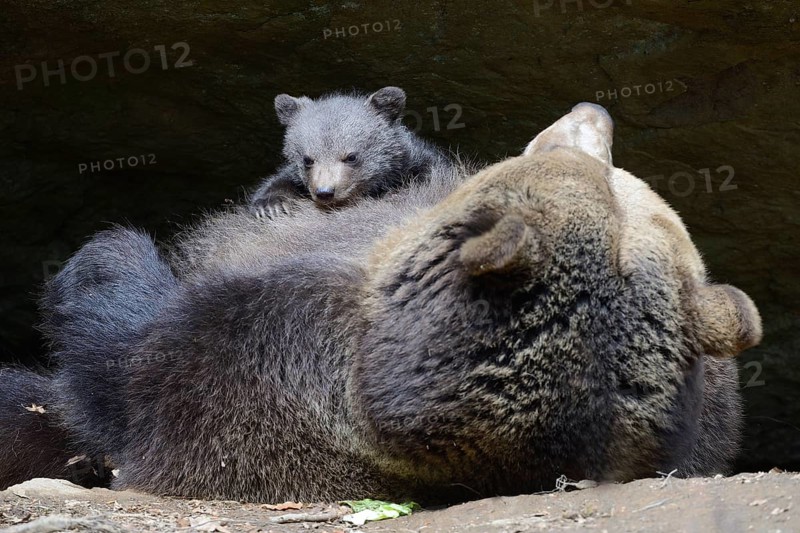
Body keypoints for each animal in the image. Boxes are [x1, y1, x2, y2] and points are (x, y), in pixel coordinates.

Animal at [248, 86, 453, 218]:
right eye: (307, 159)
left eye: (351, 157)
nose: (325, 192)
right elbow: (280, 180)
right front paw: (271, 206)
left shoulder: (419, 165)